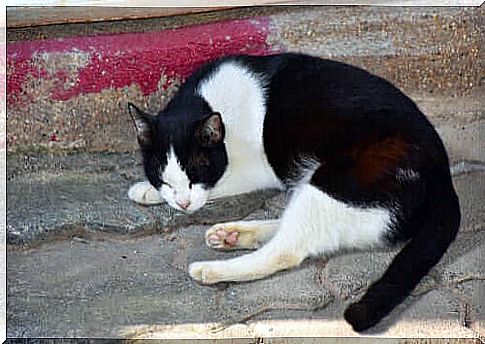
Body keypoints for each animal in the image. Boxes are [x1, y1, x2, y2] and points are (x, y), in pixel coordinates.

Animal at [126, 52, 460, 332]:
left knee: (285, 251)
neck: (208, 103)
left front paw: (145, 191)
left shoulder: (253, 170)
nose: (182, 204)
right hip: (322, 191)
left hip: (333, 183)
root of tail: (443, 177)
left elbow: (217, 184)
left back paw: (211, 269)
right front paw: (154, 191)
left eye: (197, 170)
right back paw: (232, 235)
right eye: (163, 175)